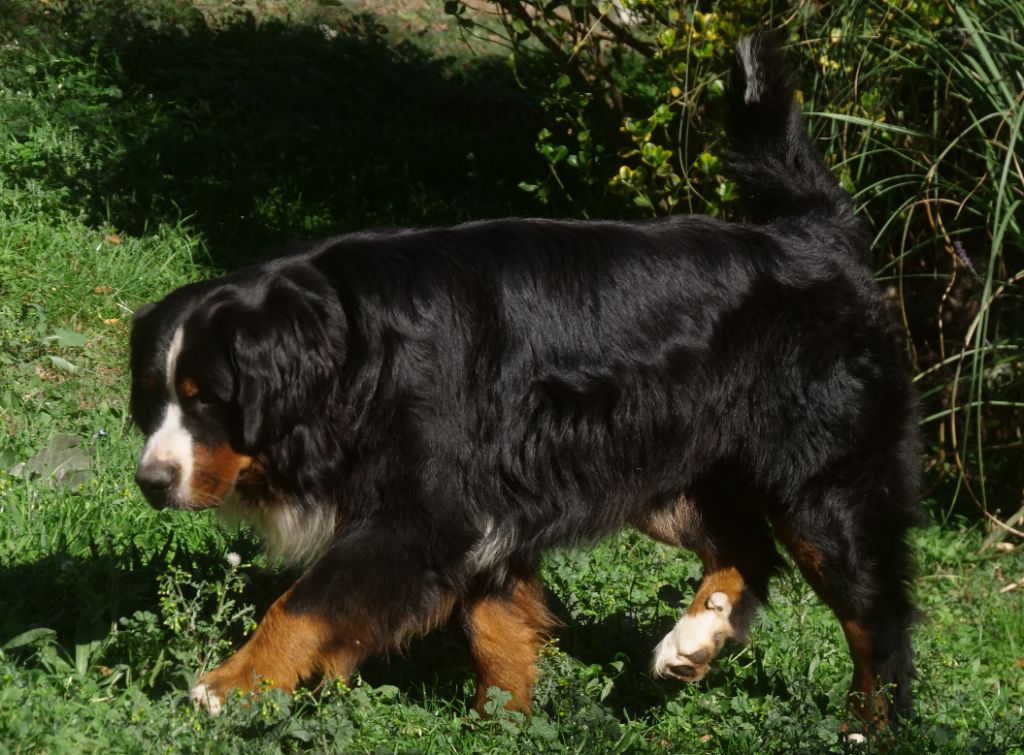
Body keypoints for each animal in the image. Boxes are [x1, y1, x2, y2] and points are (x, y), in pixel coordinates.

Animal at [128, 33, 921, 725]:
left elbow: (304, 604)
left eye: (209, 400)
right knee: (747, 550)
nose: (151, 481)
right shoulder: (490, 504)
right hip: (671, 470)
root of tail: (815, 234)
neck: (355, 351)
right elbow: (497, 628)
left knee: (873, 614)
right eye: (154, 400)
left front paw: (225, 686)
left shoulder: (425, 511)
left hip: (821, 482)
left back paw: (868, 725)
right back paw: (695, 638)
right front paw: (501, 722)